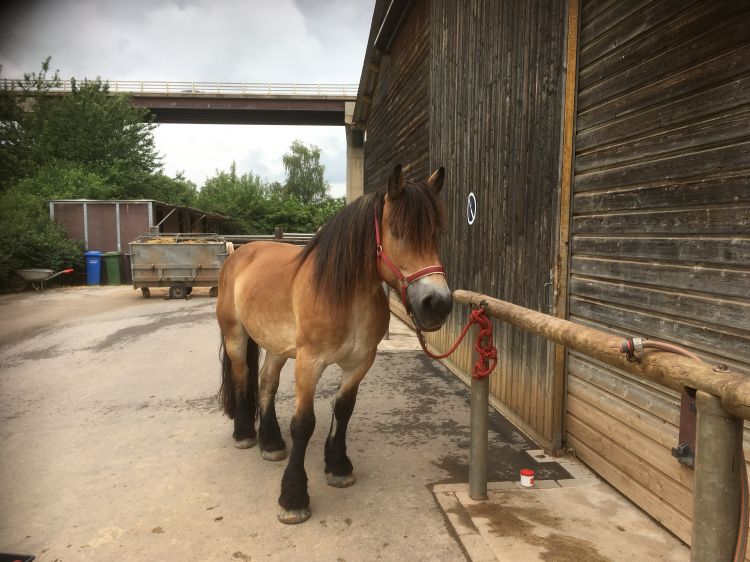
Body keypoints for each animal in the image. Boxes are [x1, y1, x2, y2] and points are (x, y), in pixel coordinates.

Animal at [214, 162, 456, 520]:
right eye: (397, 231)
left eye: (437, 232)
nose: (437, 304)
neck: (344, 294)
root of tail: (240, 252)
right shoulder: (309, 363)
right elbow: (304, 424)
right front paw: (293, 497)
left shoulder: (359, 363)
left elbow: (343, 410)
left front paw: (338, 466)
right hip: (236, 336)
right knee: (243, 376)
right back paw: (245, 433)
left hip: (277, 347)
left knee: (266, 383)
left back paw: (271, 443)